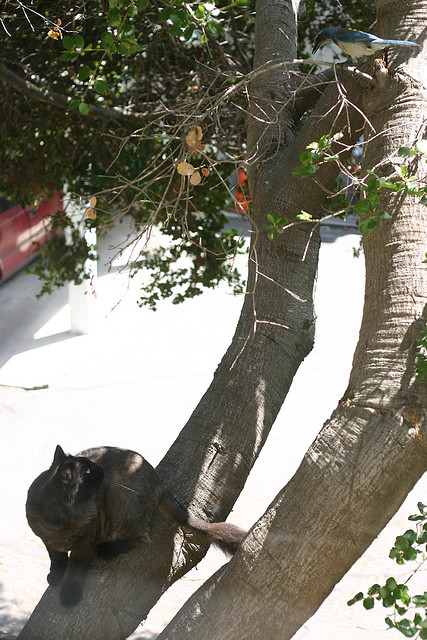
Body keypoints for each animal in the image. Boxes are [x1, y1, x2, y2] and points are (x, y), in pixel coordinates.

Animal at [26, 444, 246, 604]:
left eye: (90, 464)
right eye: (88, 470)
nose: (100, 468)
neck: (59, 517)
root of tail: (158, 480)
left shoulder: (85, 543)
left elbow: (74, 570)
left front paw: (69, 596)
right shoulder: (47, 539)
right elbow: (56, 558)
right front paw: (55, 575)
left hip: (124, 510)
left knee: (142, 537)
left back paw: (107, 550)